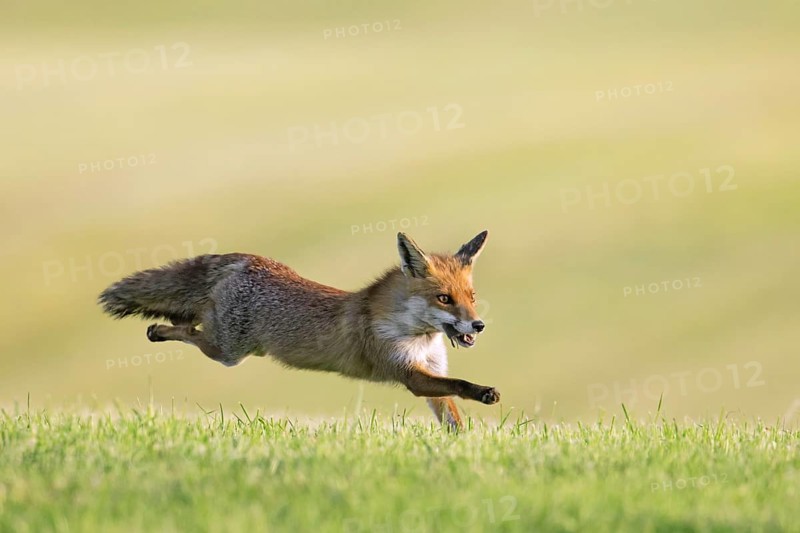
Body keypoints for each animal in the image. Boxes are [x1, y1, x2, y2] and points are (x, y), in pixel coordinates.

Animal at [98, 230, 498, 428]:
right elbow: (459, 384)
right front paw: (483, 392)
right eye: (444, 298)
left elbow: (452, 417)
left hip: (228, 341)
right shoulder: (409, 374)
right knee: (186, 329)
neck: (418, 336)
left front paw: (461, 451)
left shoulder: (431, 372)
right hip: (229, 350)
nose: (478, 325)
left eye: (471, 297)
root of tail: (245, 258)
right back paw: (157, 331)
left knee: (189, 318)